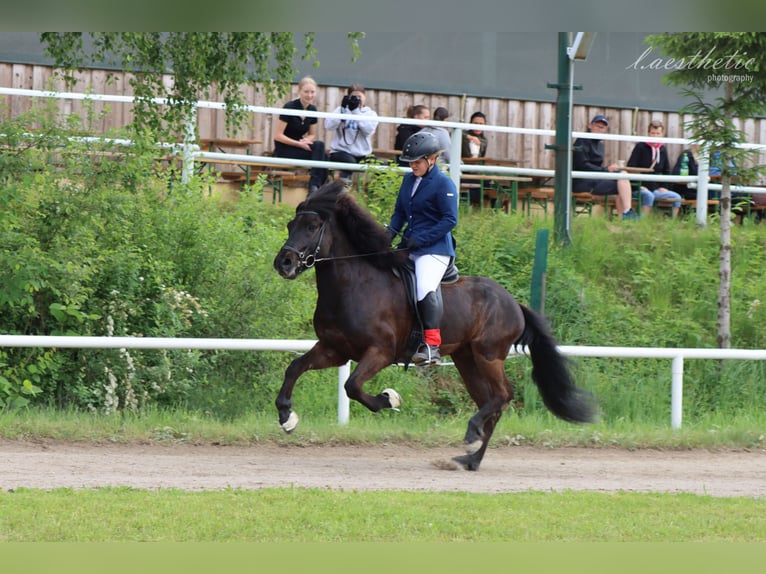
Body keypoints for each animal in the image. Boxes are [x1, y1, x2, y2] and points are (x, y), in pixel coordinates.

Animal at [272, 181, 596, 472]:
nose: (283, 263)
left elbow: (352, 386)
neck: (353, 284)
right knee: (491, 402)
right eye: (290, 225)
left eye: (313, 226)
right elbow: (295, 368)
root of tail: (514, 303)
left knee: (503, 395)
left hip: (489, 355)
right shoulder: (334, 349)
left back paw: (471, 437)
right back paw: (471, 457)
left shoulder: (380, 352)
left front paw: (389, 399)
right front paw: (287, 417)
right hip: (466, 359)